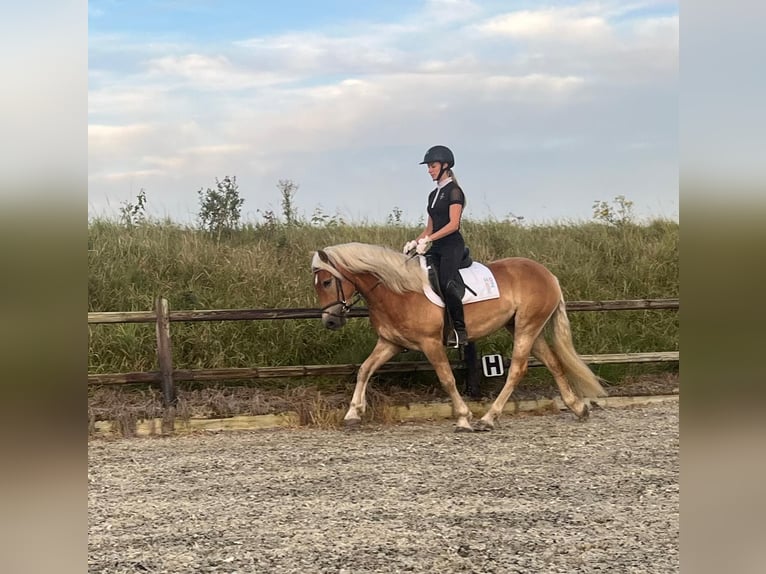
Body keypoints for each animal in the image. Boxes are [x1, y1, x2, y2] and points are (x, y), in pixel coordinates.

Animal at [310, 241, 608, 434]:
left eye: (326, 282)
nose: (330, 321)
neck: (397, 290)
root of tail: (547, 274)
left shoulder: (430, 343)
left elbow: (447, 379)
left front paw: (463, 418)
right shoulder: (390, 343)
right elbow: (364, 370)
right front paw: (352, 414)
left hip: (527, 327)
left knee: (517, 369)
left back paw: (488, 418)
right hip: (524, 328)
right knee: (553, 362)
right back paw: (577, 408)